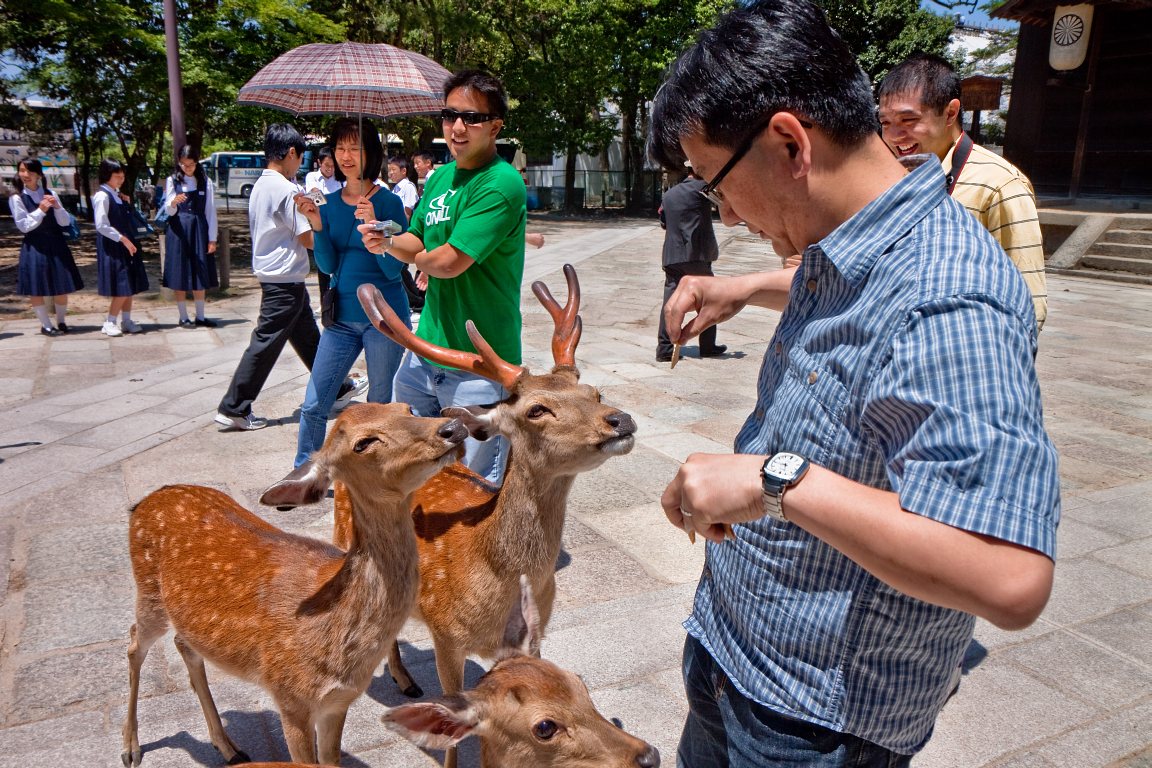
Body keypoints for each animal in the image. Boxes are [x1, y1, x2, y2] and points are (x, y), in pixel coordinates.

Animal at [120, 405, 467, 764]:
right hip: (148, 593)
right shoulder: (289, 698)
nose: (452, 427)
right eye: (362, 443)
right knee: (134, 644)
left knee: (183, 643)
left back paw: (229, 747)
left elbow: (330, 760)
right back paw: (131, 749)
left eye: (405, 408)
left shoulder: (337, 703)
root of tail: (145, 502)